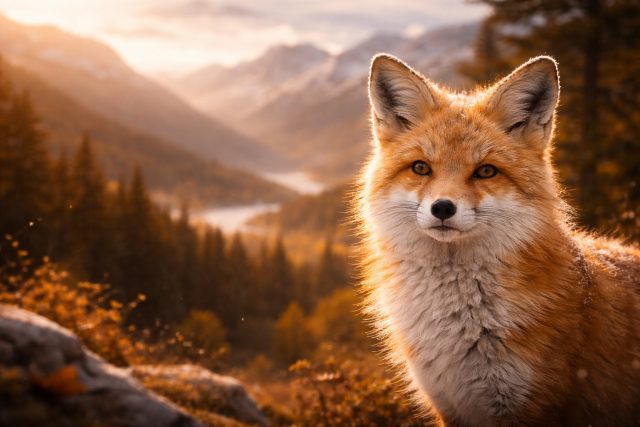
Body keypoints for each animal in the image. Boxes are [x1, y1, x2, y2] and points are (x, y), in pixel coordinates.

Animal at [355, 54, 640, 427]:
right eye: (421, 168)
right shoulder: (451, 404)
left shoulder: (530, 404)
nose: (442, 208)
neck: (458, 326)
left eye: (486, 171)